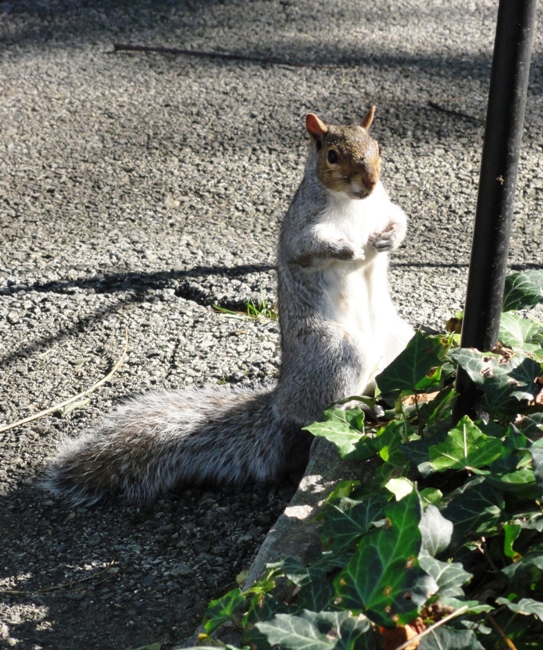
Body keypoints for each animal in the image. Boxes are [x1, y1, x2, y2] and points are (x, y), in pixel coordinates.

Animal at [42, 106, 414, 504]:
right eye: (332, 155)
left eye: (377, 146)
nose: (370, 182)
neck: (355, 205)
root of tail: (282, 403)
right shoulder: (302, 227)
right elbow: (309, 248)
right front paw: (350, 249)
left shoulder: (384, 206)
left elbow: (400, 218)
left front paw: (390, 238)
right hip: (335, 351)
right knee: (319, 416)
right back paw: (353, 413)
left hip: (400, 341)